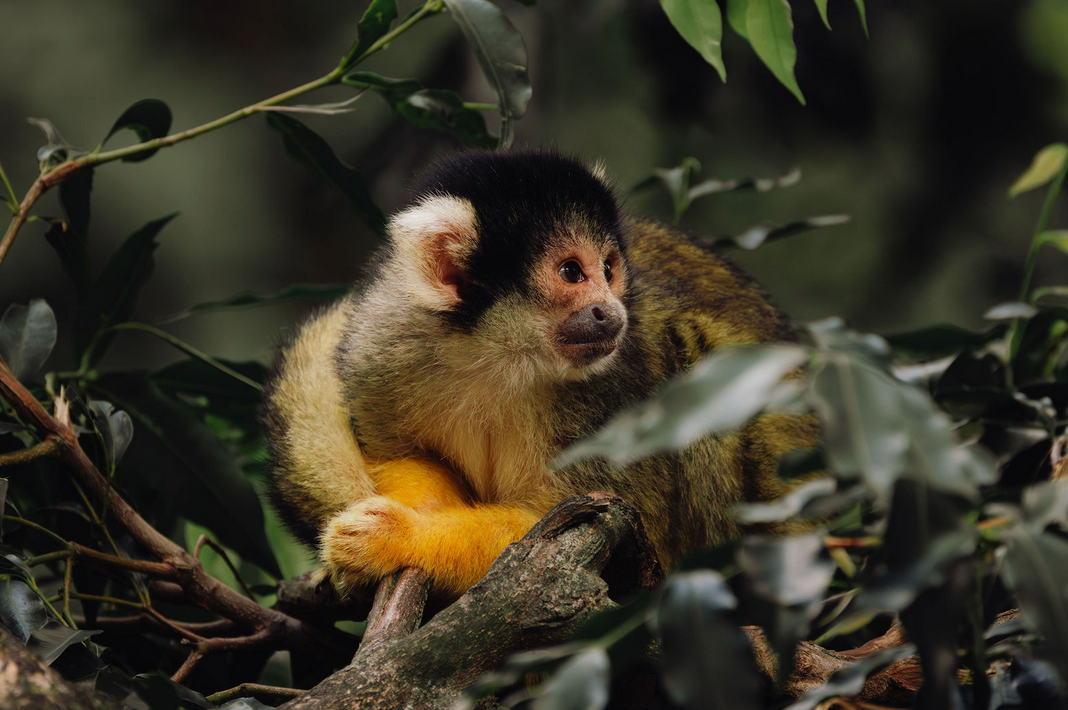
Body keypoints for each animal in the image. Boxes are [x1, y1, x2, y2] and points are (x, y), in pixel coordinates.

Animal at [262, 150, 818, 597]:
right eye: (571, 272)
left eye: (609, 269)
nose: (611, 312)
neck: (502, 354)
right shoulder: (382, 343)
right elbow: (401, 454)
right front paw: (423, 505)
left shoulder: (617, 392)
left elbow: (557, 542)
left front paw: (400, 538)